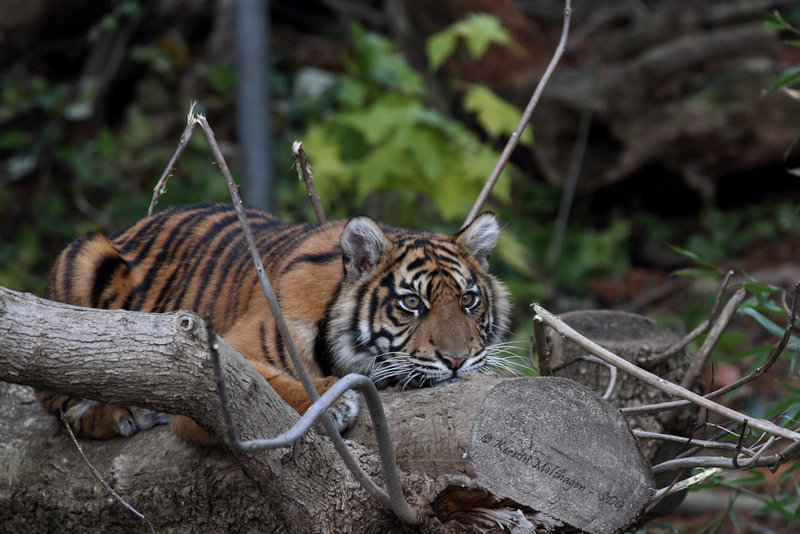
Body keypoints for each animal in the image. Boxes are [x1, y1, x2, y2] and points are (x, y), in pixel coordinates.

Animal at [37, 205, 510, 448]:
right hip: (83, 259)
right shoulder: (211, 359)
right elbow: (262, 384)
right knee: (59, 404)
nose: (456, 360)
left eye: (468, 300)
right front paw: (331, 402)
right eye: (412, 303)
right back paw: (123, 413)